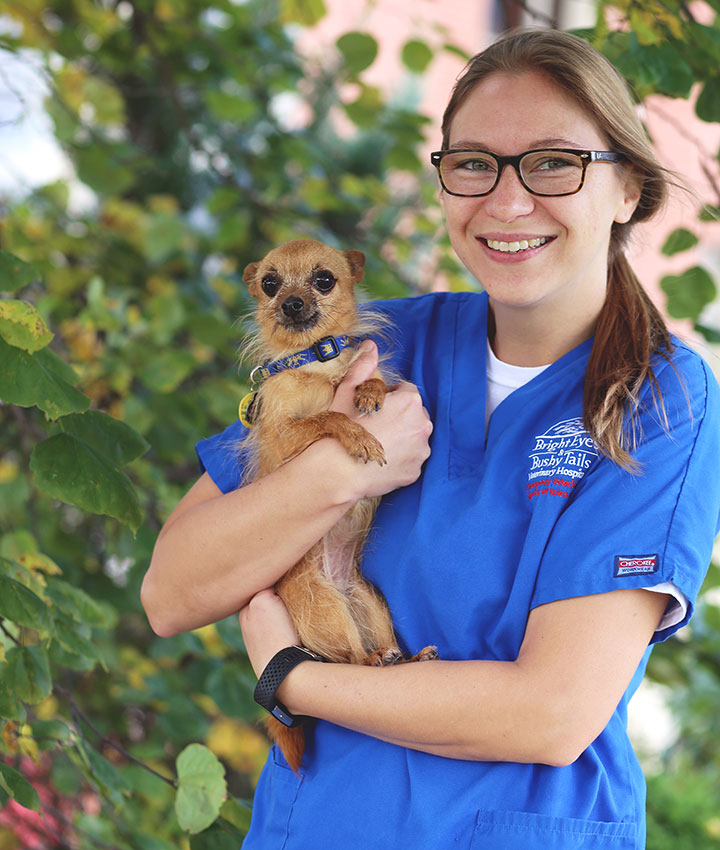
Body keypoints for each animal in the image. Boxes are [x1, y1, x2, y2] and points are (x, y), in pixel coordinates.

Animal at [239, 237, 436, 768]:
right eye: (270, 283)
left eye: (323, 279)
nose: (290, 303)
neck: (315, 362)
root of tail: (339, 582)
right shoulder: (283, 437)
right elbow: (326, 416)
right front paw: (356, 432)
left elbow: (380, 384)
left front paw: (368, 390)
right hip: (326, 609)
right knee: (349, 661)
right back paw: (373, 658)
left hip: (370, 607)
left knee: (375, 658)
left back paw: (406, 657)